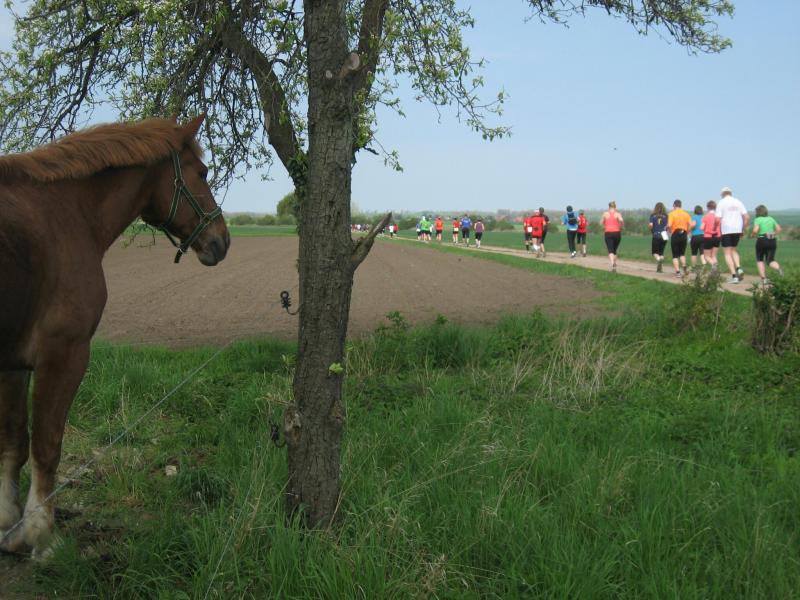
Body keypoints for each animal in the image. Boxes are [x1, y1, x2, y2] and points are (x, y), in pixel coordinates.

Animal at [0, 114, 229, 558]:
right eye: (202, 172)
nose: (222, 240)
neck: (64, 214)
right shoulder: (64, 353)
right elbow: (47, 444)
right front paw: (39, 531)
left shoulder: (12, 364)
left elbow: (14, 441)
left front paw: (8, 523)